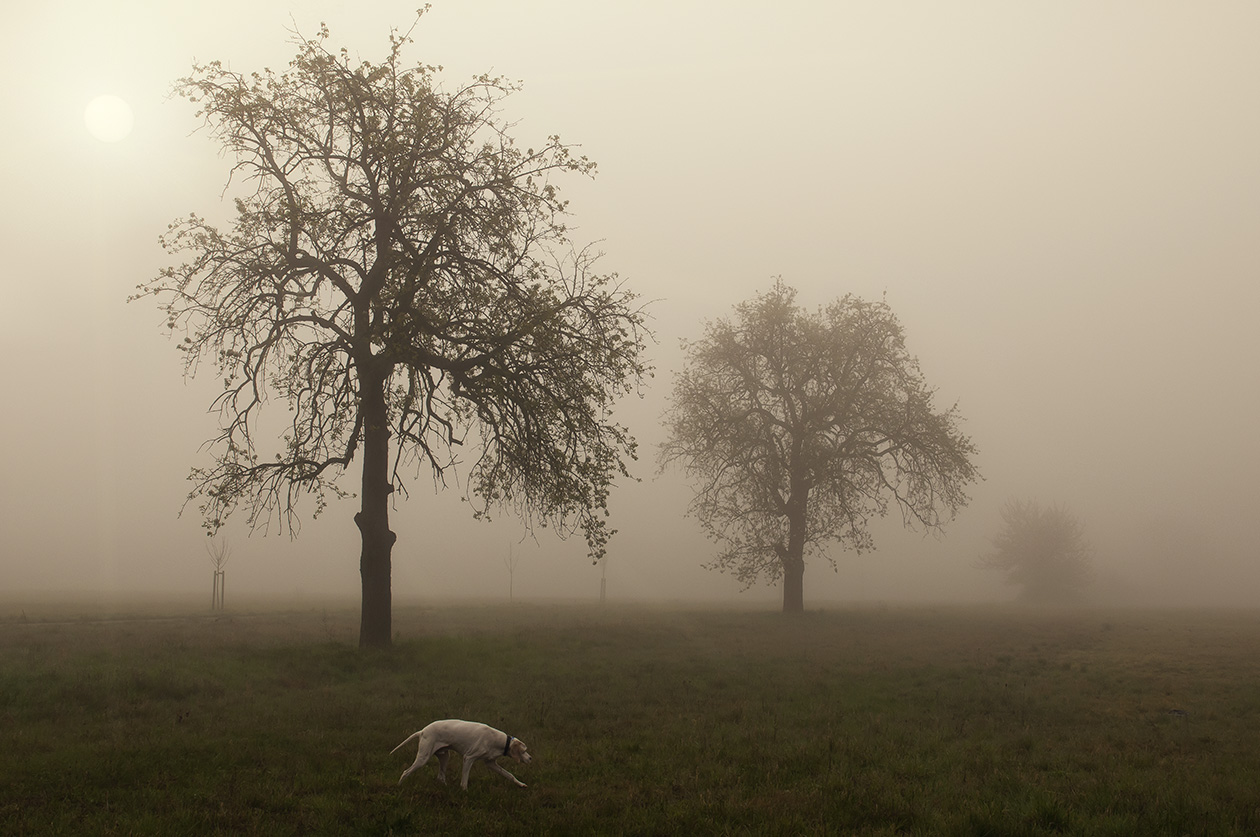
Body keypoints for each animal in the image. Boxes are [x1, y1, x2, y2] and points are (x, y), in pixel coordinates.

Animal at [390, 721, 534, 791]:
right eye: (524, 750)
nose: (530, 758)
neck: (498, 740)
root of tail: (422, 731)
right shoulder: (469, 758)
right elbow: (464, 781)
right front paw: (464, 792)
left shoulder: (491, 763)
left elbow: (509, 775)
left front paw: (521, 784)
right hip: (423, 758)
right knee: (405, 772)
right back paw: (399, 786)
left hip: (444, 756)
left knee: (440, 777)